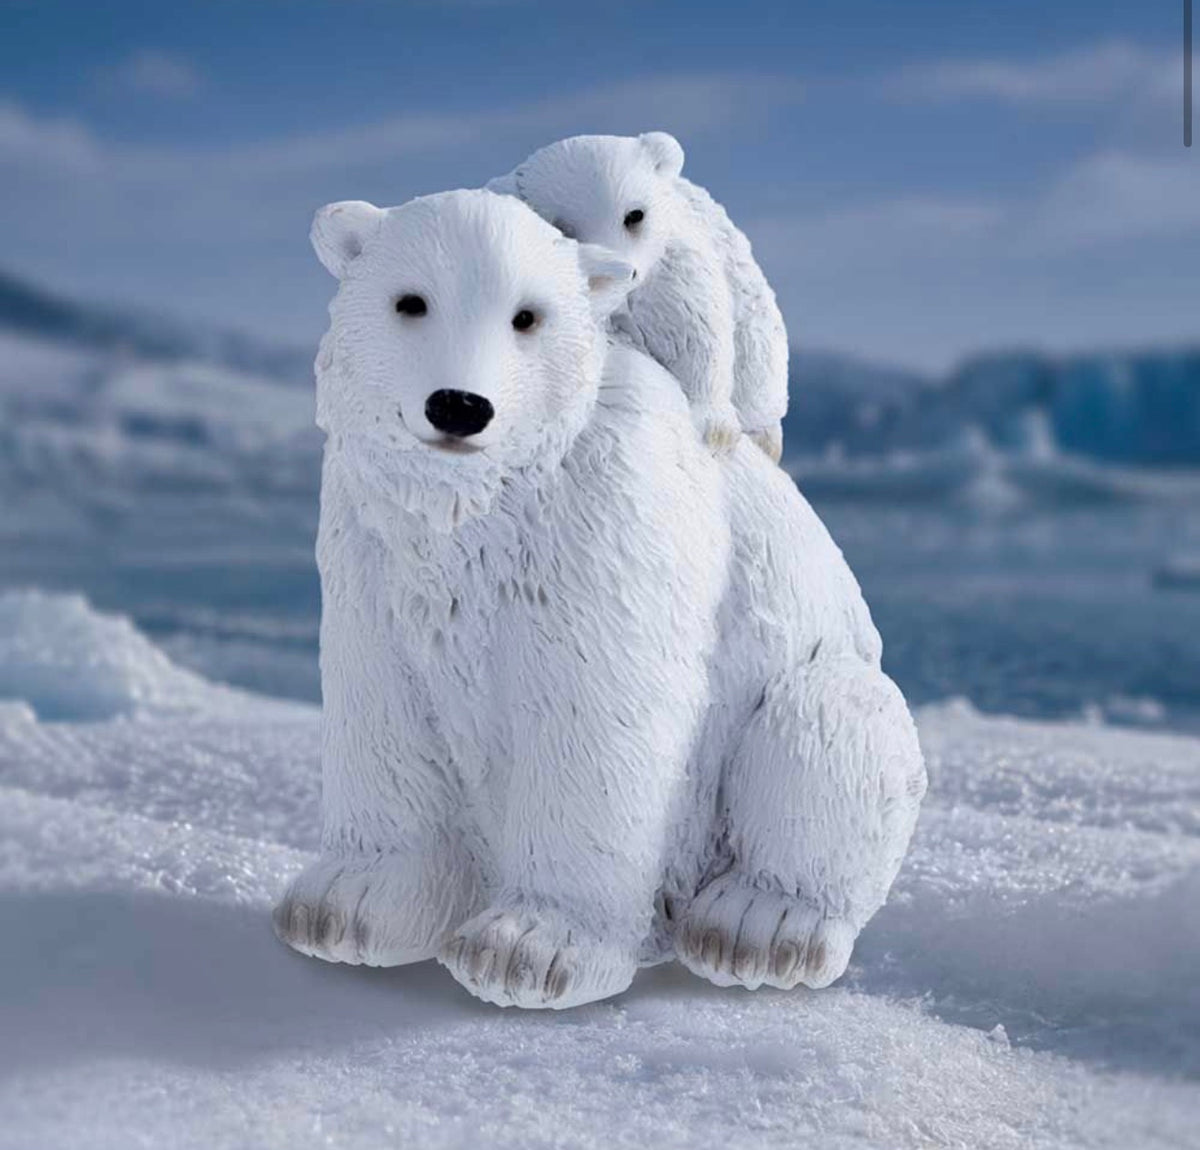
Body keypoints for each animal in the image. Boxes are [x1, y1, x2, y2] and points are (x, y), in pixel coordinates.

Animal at [272, 188, 926, 1010]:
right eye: (409, 301)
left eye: (528, 316)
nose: (459, 405)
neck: (478, 503)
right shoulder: (373, 544)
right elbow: (383, 703)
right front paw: (349, 904)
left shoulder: (602, 517)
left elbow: (596, 710)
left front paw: (530, 948)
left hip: (812, 698)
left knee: (828, 727)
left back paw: (759, 924)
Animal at [487, 131, 790, 462]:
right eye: (563, 228)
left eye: (634, 215)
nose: (626, 271)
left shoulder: (667, 264)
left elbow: (694, 322)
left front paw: (716, 430)